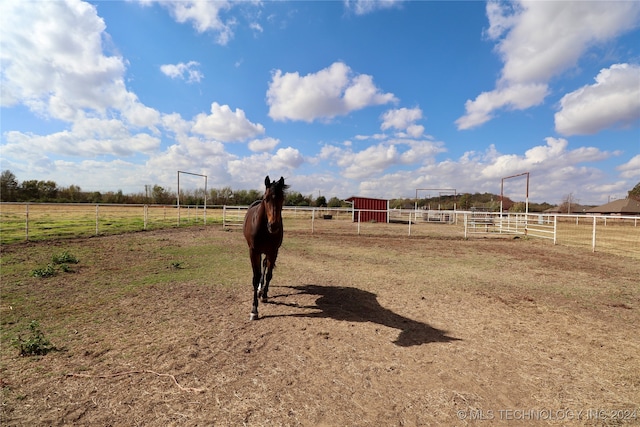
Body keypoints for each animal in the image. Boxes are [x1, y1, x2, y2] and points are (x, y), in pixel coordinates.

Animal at [242, 176, 288, 320]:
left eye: (282, 198)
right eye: (266, 198)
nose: (273, 226)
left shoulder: (273, 251)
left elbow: (268, 274)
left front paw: (265, 295)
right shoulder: (253, 251)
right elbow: (255, 278)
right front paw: (254, 310)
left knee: (265, 267)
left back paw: (262, 291)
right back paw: (259, 289)